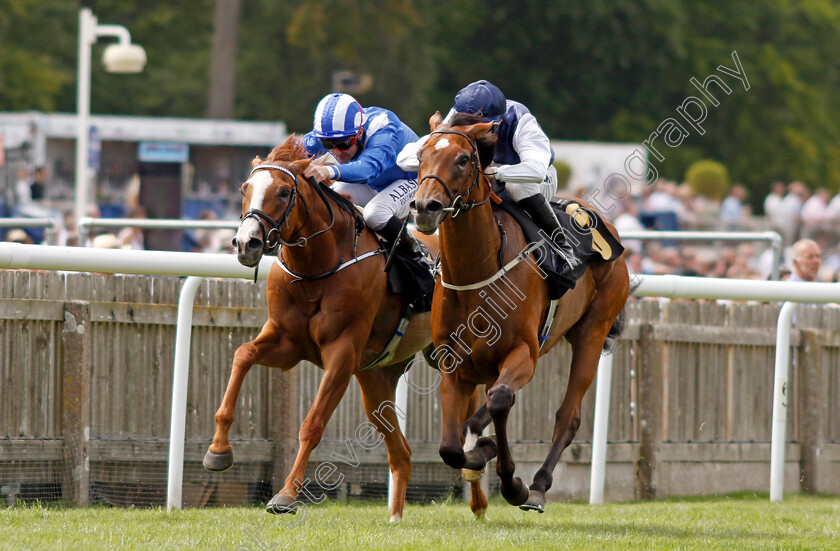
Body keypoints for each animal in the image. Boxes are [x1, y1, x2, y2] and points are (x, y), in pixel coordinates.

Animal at [203, 137, 488, 520]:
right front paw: (218, 451)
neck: (318, 266)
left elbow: (312, 424)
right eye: (245, 188)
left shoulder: (341, 353)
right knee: (402, 453)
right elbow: (242, 355)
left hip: (449, 355)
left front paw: (286, 495)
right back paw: (395, 517)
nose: (247, 243)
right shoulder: (286, 343)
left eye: (282, 191)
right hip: (377, 377)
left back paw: (479, 500)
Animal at [410, 114, 628, 516]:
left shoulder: (524, 351)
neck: (477, 272)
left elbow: (500, 401)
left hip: (592, 332)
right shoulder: (453, 365)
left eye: (463, 159)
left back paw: (538, 486)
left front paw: (512, 482)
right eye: (420, 155)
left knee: (566, 417)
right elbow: (450, 447)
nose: (424, 207)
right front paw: (480, 451)